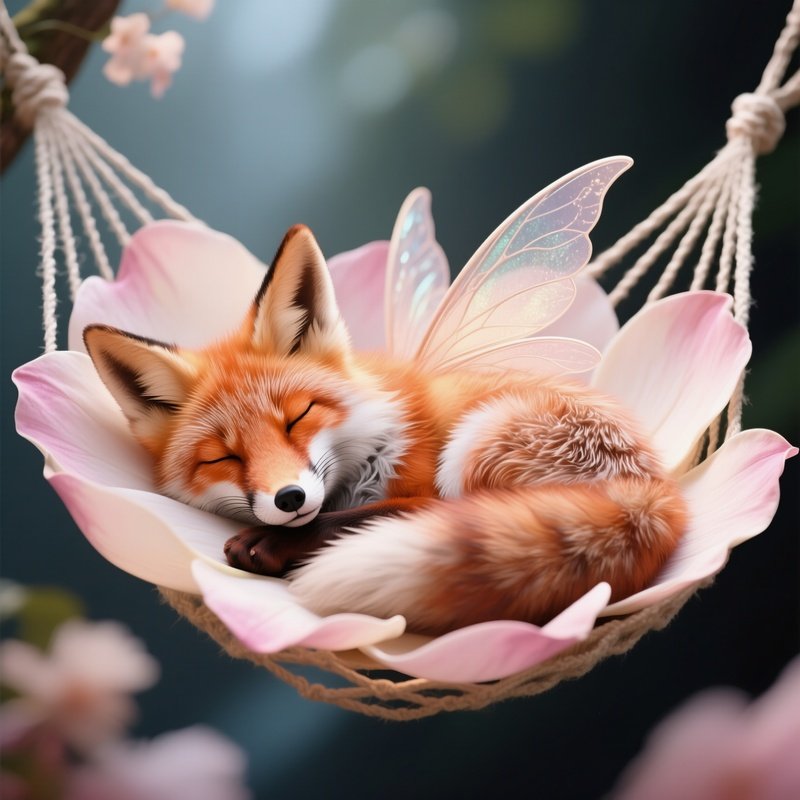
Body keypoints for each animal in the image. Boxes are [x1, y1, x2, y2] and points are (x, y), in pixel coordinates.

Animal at [83, 222, 687, 637]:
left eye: (298, 417)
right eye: (222, 458)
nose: (289, 498)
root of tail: (656, 491)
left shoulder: (421, 485)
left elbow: (360, 516)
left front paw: (278, 543)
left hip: (477, 444)